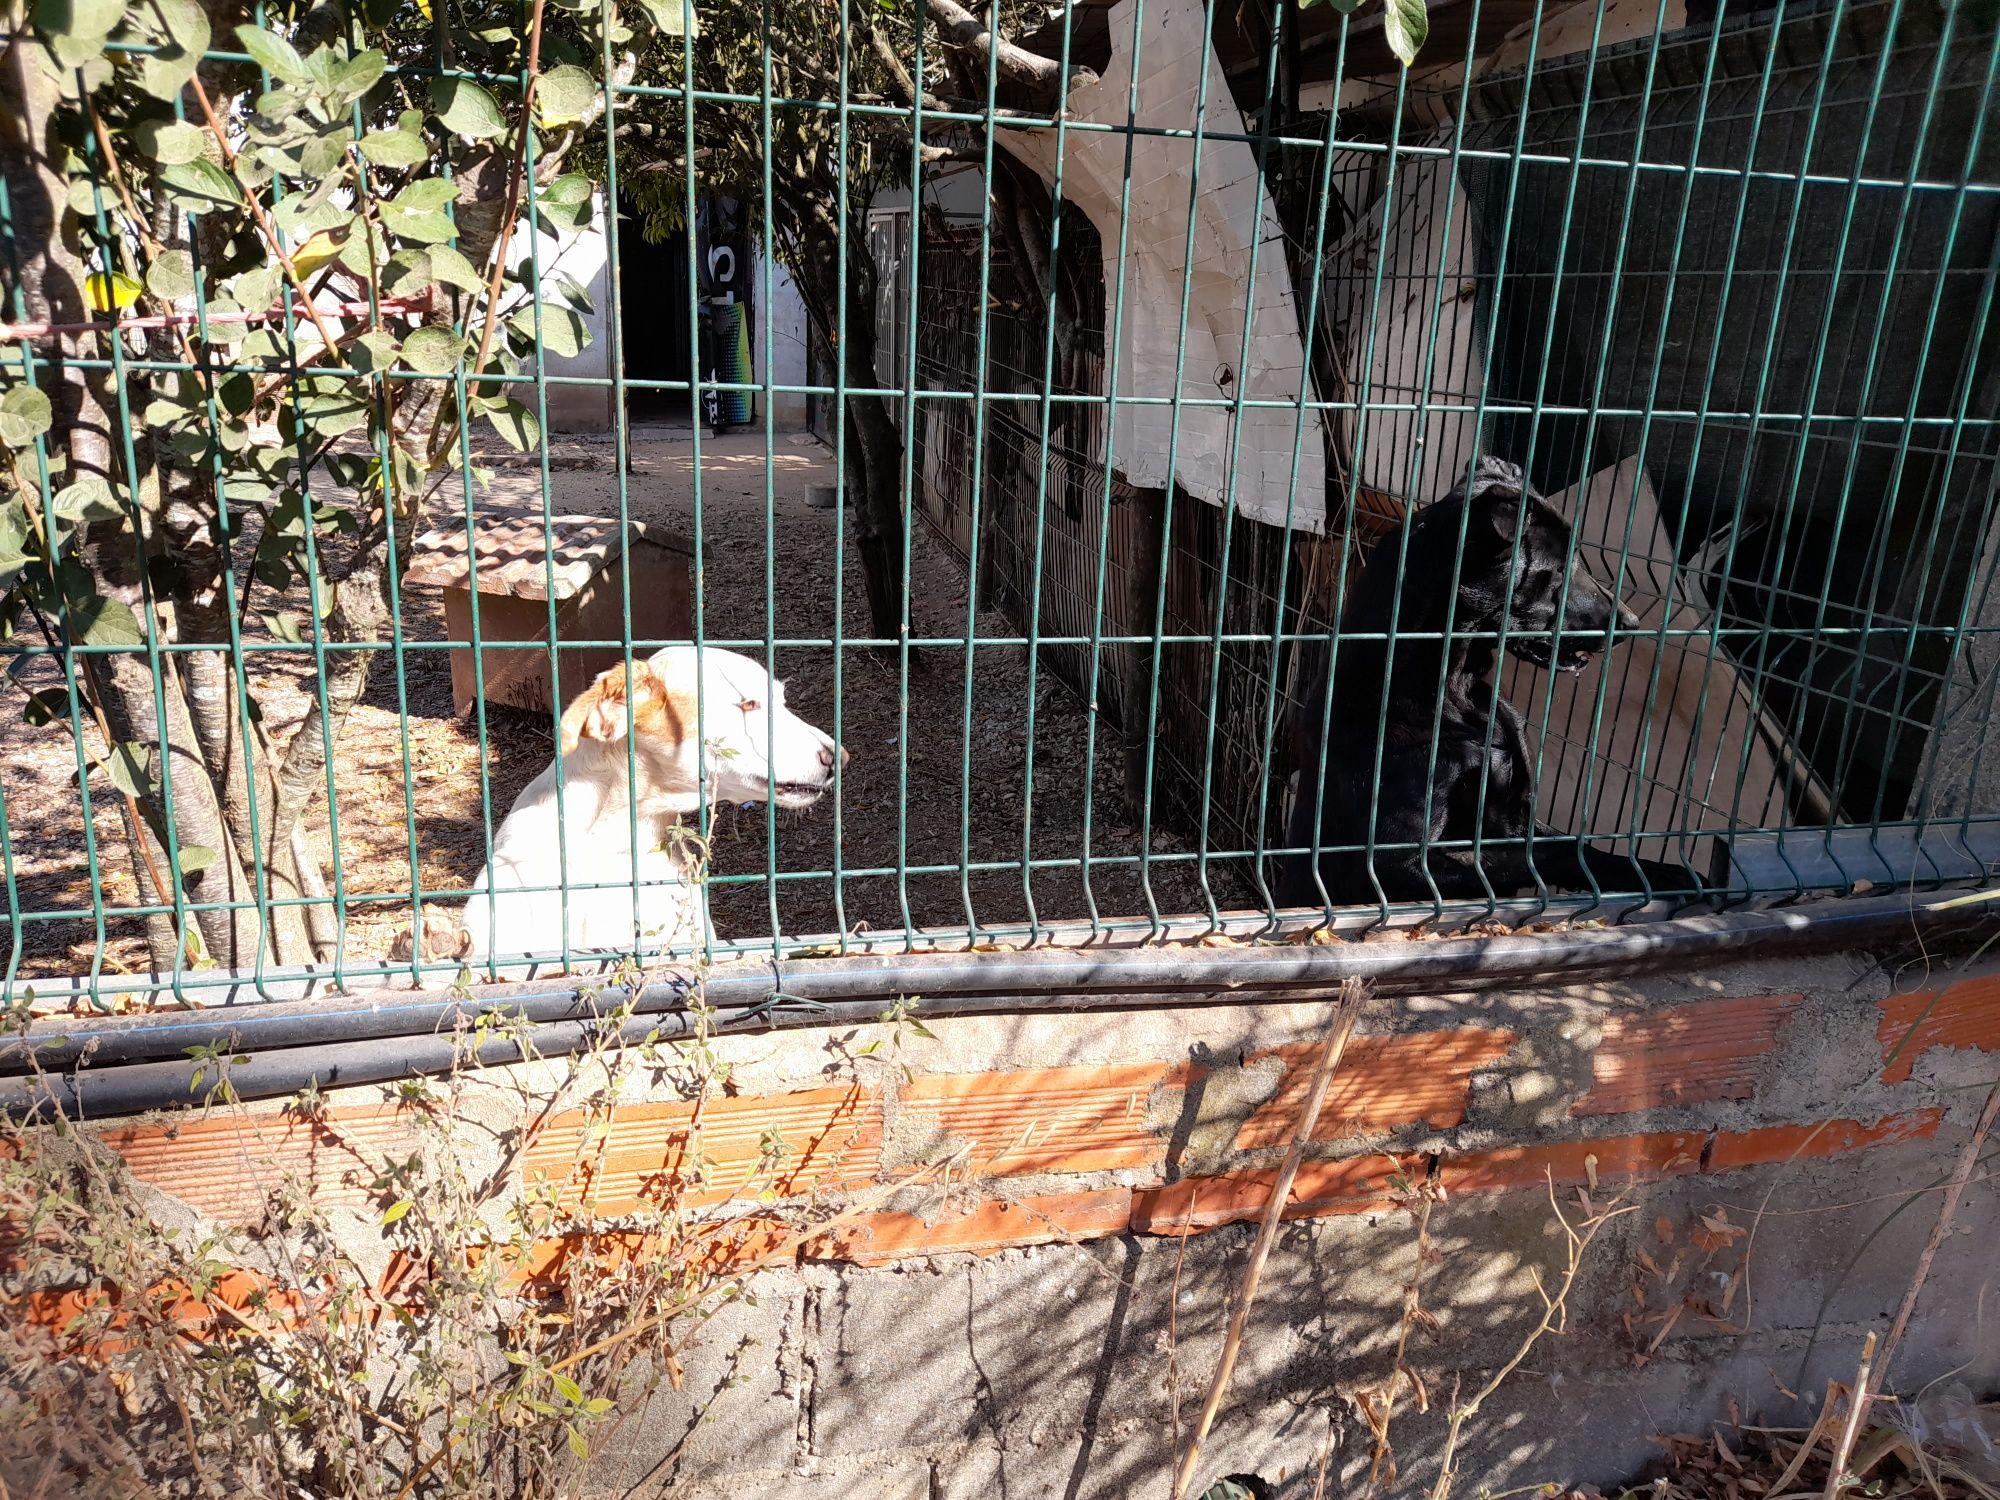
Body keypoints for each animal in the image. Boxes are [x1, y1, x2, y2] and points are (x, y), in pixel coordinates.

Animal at [1280, 452, 1704, 912]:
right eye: (1558, 569)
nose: (1631, 623)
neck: (1451, 691)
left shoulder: (1512, 809)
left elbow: (1570, 845)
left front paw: (1662, 872)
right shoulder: (1387, 866)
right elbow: (1529, 857)